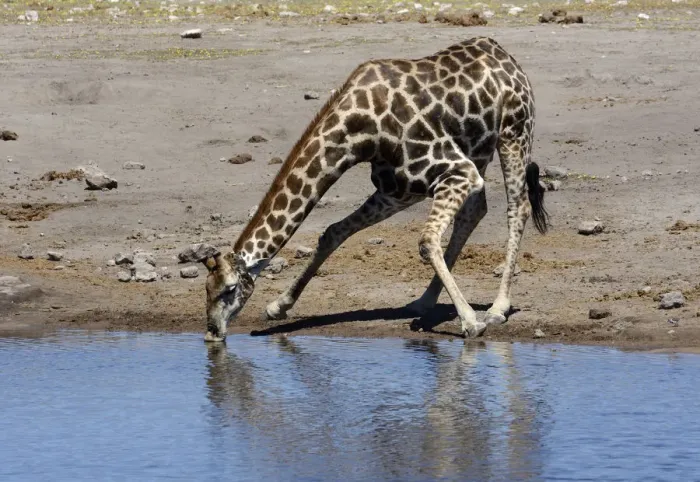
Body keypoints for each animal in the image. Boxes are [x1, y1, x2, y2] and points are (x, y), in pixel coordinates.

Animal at [200, 36, 549, 342]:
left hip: (514, 133)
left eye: (229, 289)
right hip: (476, 151)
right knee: (475, 211)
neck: (359, 130)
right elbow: (333, 231)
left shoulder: (456, 170)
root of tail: (504, 56)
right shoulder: (398, 189)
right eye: (206, 289)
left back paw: (497, 307)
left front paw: (471, 323)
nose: (212, 332)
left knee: (517, 207)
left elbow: (426, 241)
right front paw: (278, 306)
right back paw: (424, 301)